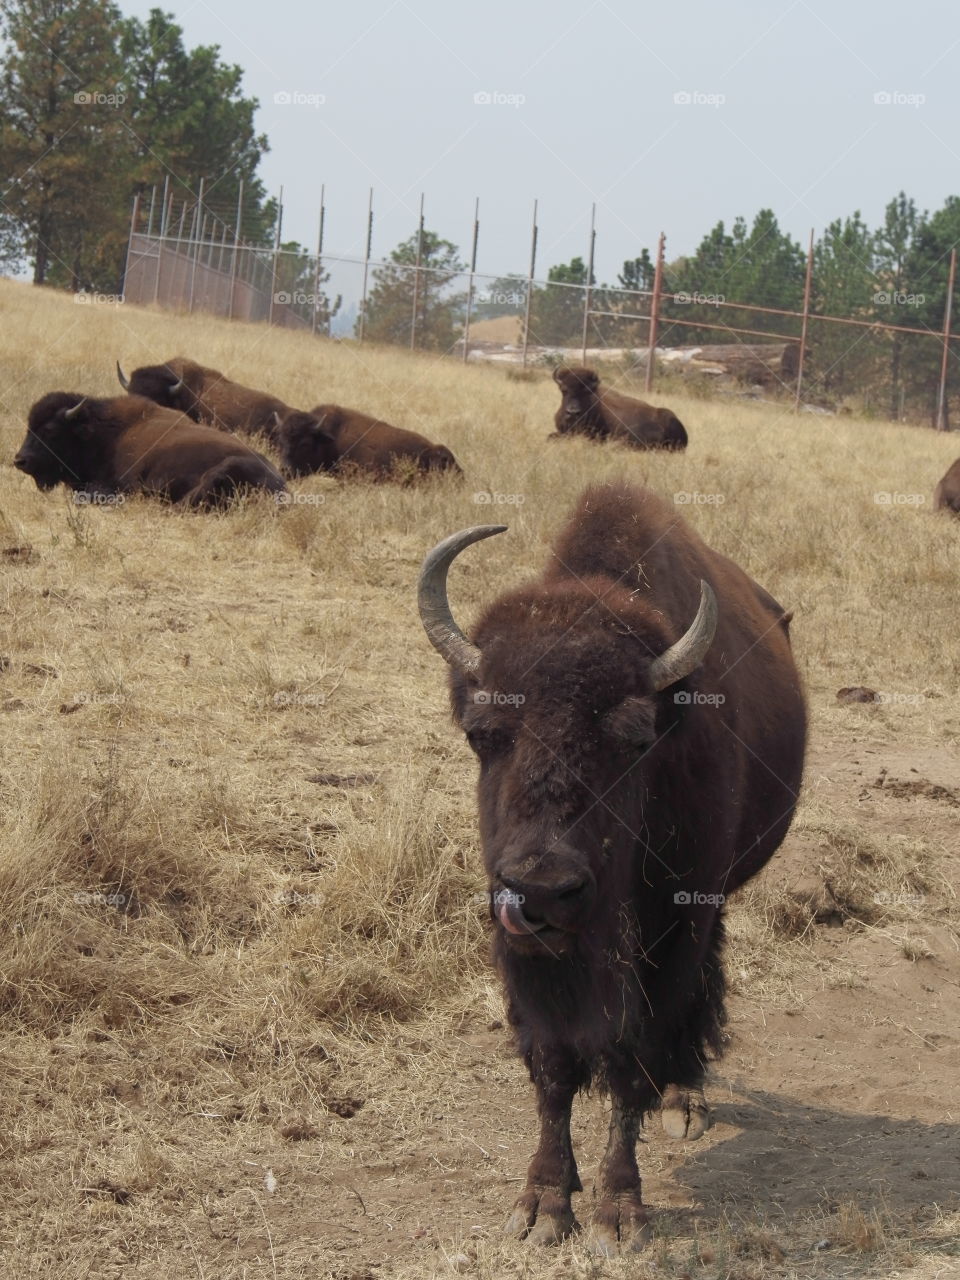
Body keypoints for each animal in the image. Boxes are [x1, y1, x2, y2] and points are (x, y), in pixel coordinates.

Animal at [13, 391, 285, 506]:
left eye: (50, 430)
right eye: (28, 427)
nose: (20, 460)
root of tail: (282, 486)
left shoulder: (123, 485)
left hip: (224, 468)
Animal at [417, 481, 808, 1249]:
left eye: (634, 740)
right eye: (483, 733)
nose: (543, 890)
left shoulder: (666, 935)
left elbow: (633, 1056)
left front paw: (618, 1210)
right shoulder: (525, 954)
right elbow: (553, 1062)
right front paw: (544, 1203)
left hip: (711, 905)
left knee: (697, 998)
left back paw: (685, 1102)